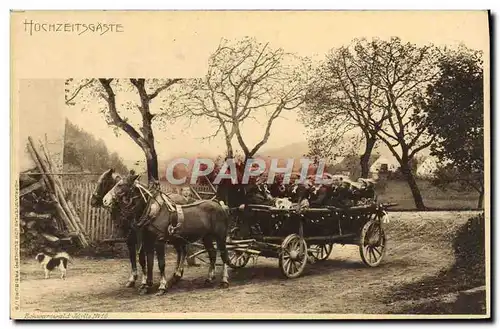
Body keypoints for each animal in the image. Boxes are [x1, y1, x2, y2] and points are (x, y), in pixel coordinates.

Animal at [103, 170, 232, 294]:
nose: (105, 200)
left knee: (224, 255)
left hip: (220, 236)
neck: (152, 211)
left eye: (120, 185)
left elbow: (161, 263)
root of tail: (220, 206)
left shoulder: (159, 241)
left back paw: (224, 280)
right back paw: (209, 278)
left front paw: (162, 286)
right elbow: (149, 262)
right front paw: (147, 286)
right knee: (212, 254)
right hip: (206, 237)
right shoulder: (147, 241)